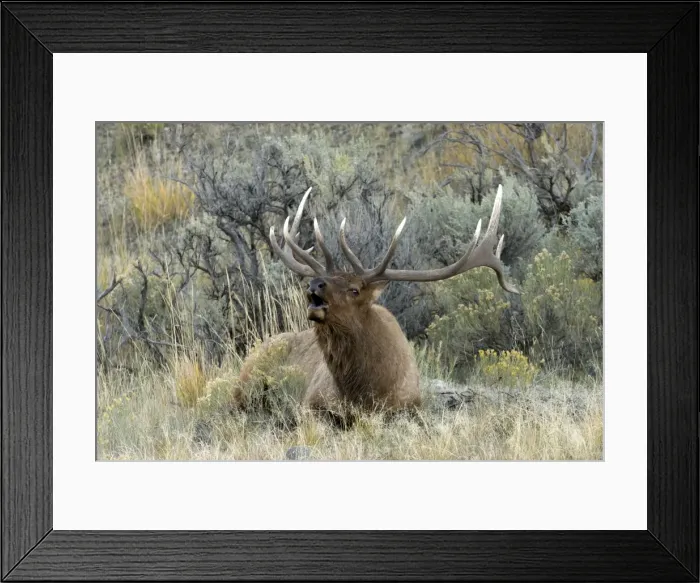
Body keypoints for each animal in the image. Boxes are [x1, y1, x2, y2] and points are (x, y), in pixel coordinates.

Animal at [237, 184, 519, 423]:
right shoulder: (311, 403)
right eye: (322, 280)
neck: (364, 389)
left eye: (354, 289)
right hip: (245, 382)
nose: (314, 284)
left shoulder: (410, 407)